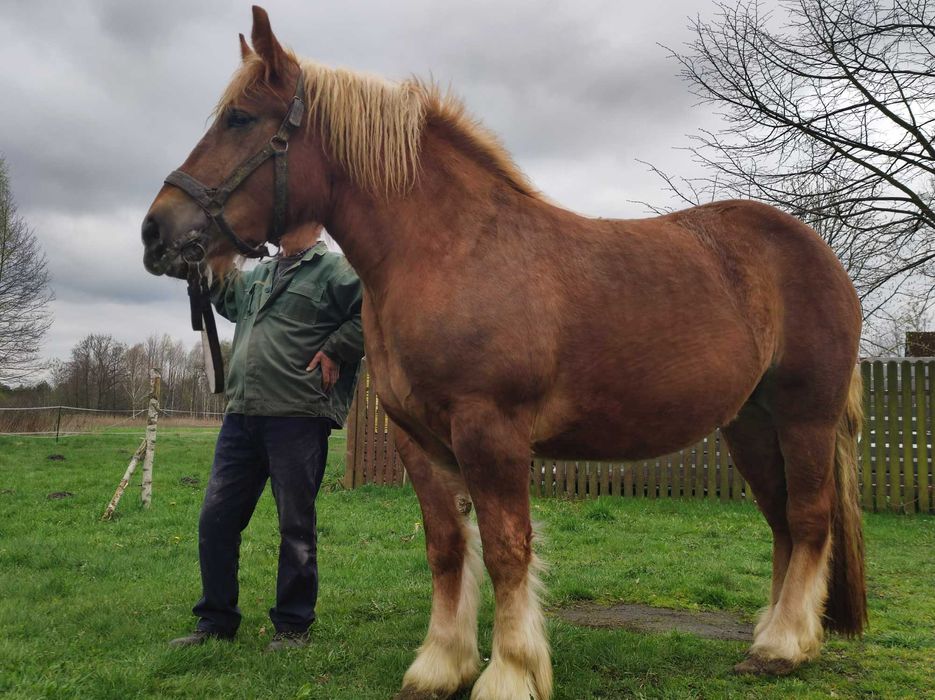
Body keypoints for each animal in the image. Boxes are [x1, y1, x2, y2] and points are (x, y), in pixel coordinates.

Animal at [143, 6, 868, 700]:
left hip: (803, 417)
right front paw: (440, 665)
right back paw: (773, 633)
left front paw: (510, 673)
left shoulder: (490, 432)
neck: (452, 250)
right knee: (780, 522)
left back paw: (783, 647)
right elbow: (446, 548)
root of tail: (819, 255)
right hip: (750, 425)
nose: (155, 231)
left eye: (240, 118)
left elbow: (506, 549)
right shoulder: (418, 440)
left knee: (807, 518)